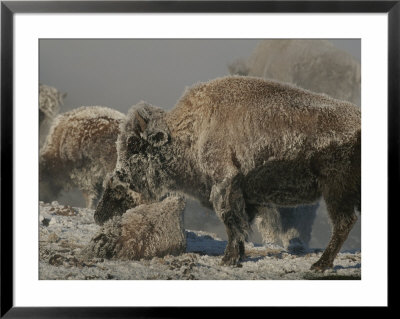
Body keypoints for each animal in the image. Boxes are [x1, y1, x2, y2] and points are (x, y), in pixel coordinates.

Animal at [95, 76, 360, 272]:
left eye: (133, 145)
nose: (99, 214)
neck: (192, 131)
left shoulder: (224, 184)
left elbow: (231, 221)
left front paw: (228, 259)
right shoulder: (245, 196)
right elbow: (240, 224)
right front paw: (238, 256)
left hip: (336, 192)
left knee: (343, 223)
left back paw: (320, 265)